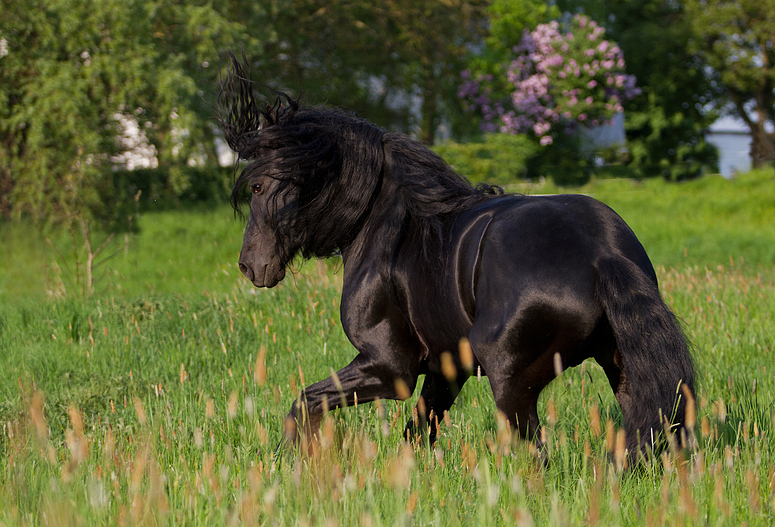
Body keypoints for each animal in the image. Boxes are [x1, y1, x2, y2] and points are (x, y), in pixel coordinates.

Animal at [218, 52, 696, 458]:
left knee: (535, 453)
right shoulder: (445, 369)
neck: (388, 224)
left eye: (258, 186)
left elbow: (306, 401)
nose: (248, 265)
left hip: (511, 382)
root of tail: (601, 255)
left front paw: (299, 458)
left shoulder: (389, 368)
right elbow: (416, 433)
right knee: (645, 434)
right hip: (620, 366)